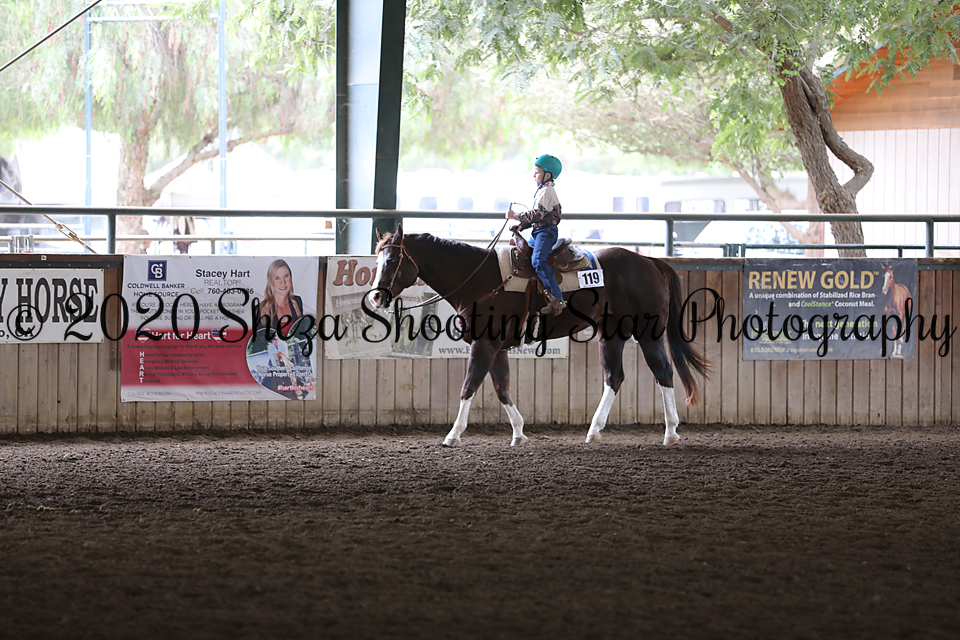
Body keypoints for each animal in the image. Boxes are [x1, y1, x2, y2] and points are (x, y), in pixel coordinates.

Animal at [369, 225, 710, 447]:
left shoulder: (485, 344)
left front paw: (453, 435)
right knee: (614, 377)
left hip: (648, 333)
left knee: (663, 373)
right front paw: (519, 433)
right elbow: (502, 388)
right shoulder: (497, 348)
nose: (376, 298)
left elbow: (470, 386)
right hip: (611, 335)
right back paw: (594, 431)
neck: (479, 280)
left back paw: (670, 432)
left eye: (391, 261)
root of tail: (650, 261)